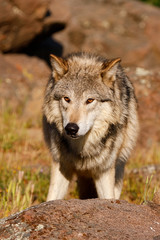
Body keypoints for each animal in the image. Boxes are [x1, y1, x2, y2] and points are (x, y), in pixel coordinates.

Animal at [42, 52, 139, 201]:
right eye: (67, 99)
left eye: (90, 100)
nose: (71, 128)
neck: (82, 149)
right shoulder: (61, 165)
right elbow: (51, 198)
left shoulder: (104, 171)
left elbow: (109, 198)